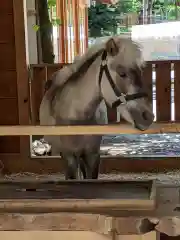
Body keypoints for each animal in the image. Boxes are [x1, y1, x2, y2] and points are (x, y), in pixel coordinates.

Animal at [39, 36, 153, 180]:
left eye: (140, 72)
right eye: (122, 73)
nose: (148, 116)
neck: (76, 115)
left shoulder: (92, 155)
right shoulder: (69, 156)